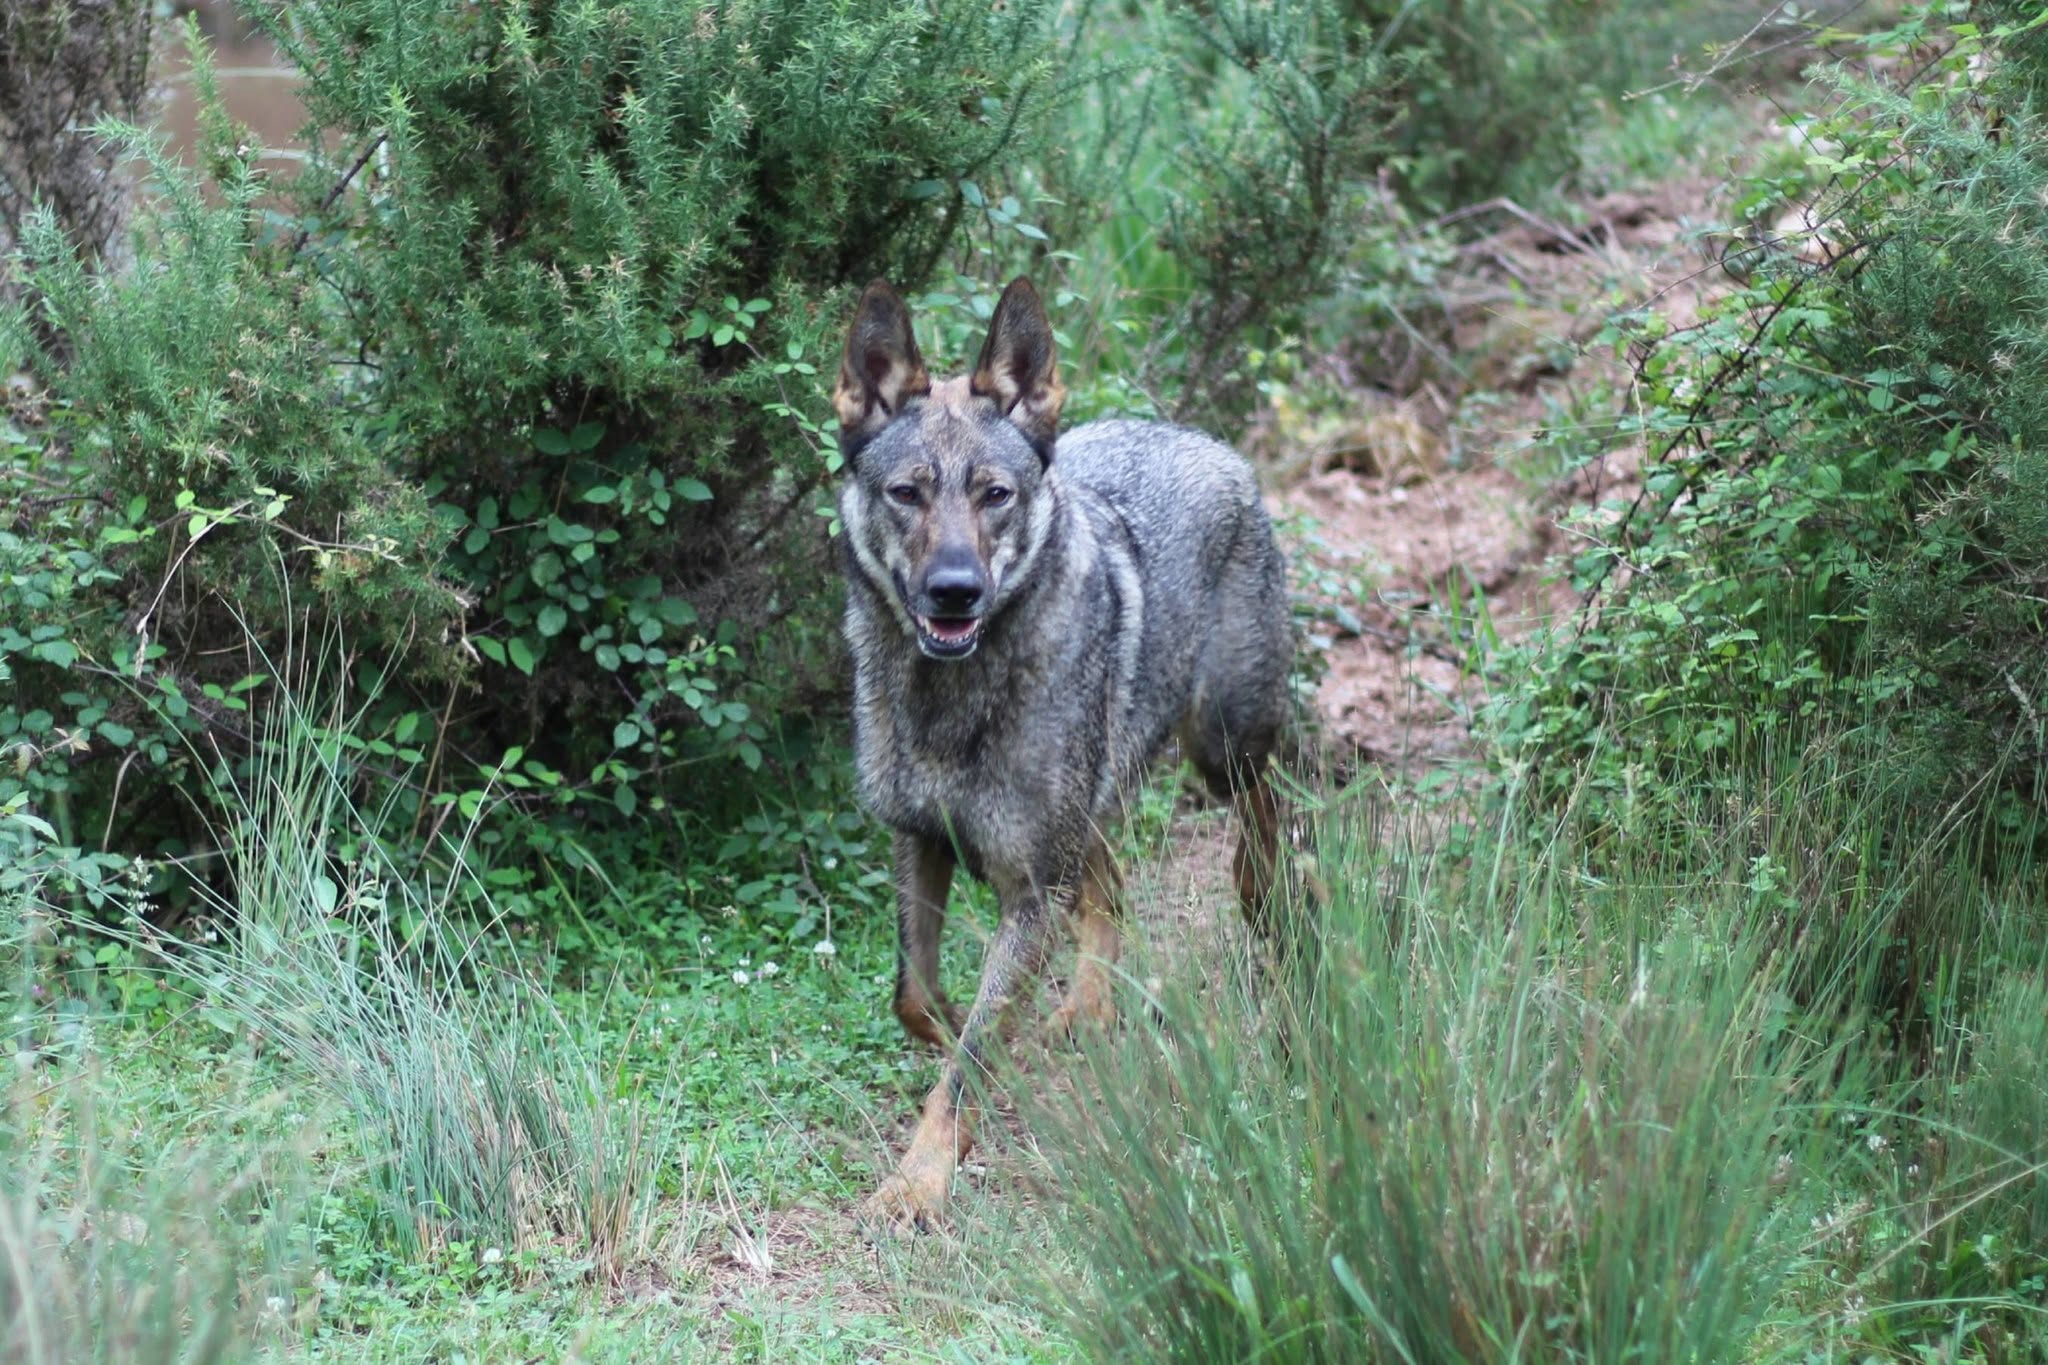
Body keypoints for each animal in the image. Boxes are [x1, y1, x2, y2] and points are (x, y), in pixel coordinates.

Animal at [833, 277, 1293, 1232]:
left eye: (995, 494)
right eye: (906, 493)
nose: (956, 591)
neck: (950, 704)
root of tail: (1195, 436)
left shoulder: (1028, 887)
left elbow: (968, 1057)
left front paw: (921, 1176)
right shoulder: (919, 840)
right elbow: (919, 999)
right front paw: (961, 1044)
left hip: (1221, 745)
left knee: (1265, 811)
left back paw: (1261, 901)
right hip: (1099, 799)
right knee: (1111, 887)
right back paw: (1087, 1006)